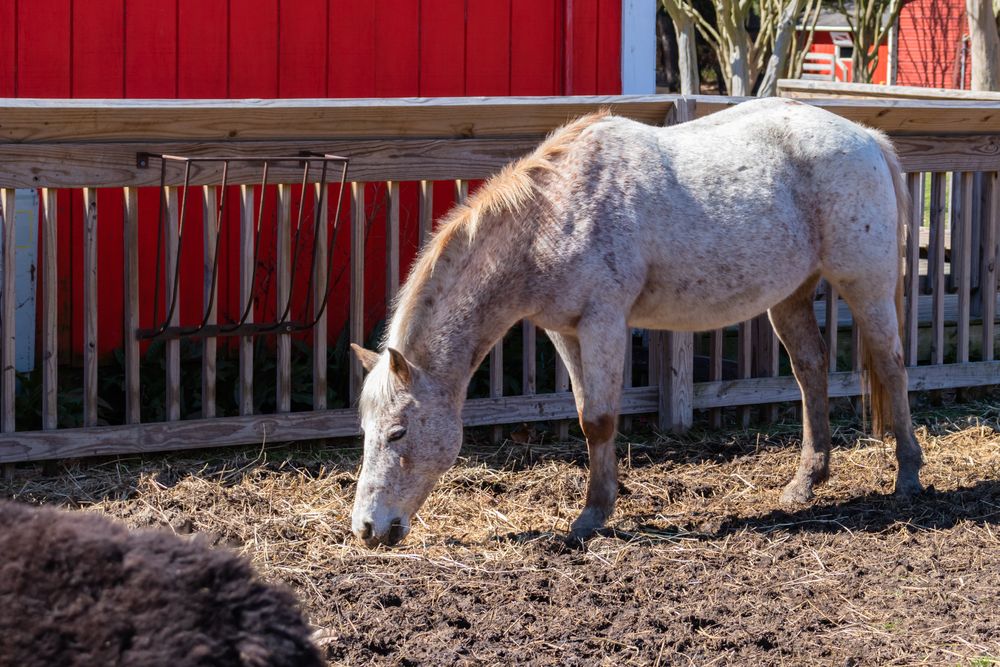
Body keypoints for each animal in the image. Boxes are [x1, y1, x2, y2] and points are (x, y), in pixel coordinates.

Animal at [349, 97, 922, 548]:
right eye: (366, 430)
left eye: (398, 432)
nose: (367, 529)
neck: (551, 218)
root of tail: (868, 139)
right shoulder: (565, 330)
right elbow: (586, 414)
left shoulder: (604, 321)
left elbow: (600, 420)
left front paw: (591, 516)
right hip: (791, 296)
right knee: (810, 370)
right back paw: (806, 482)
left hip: (865, 284)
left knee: (891, 365)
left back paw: (909, 476)